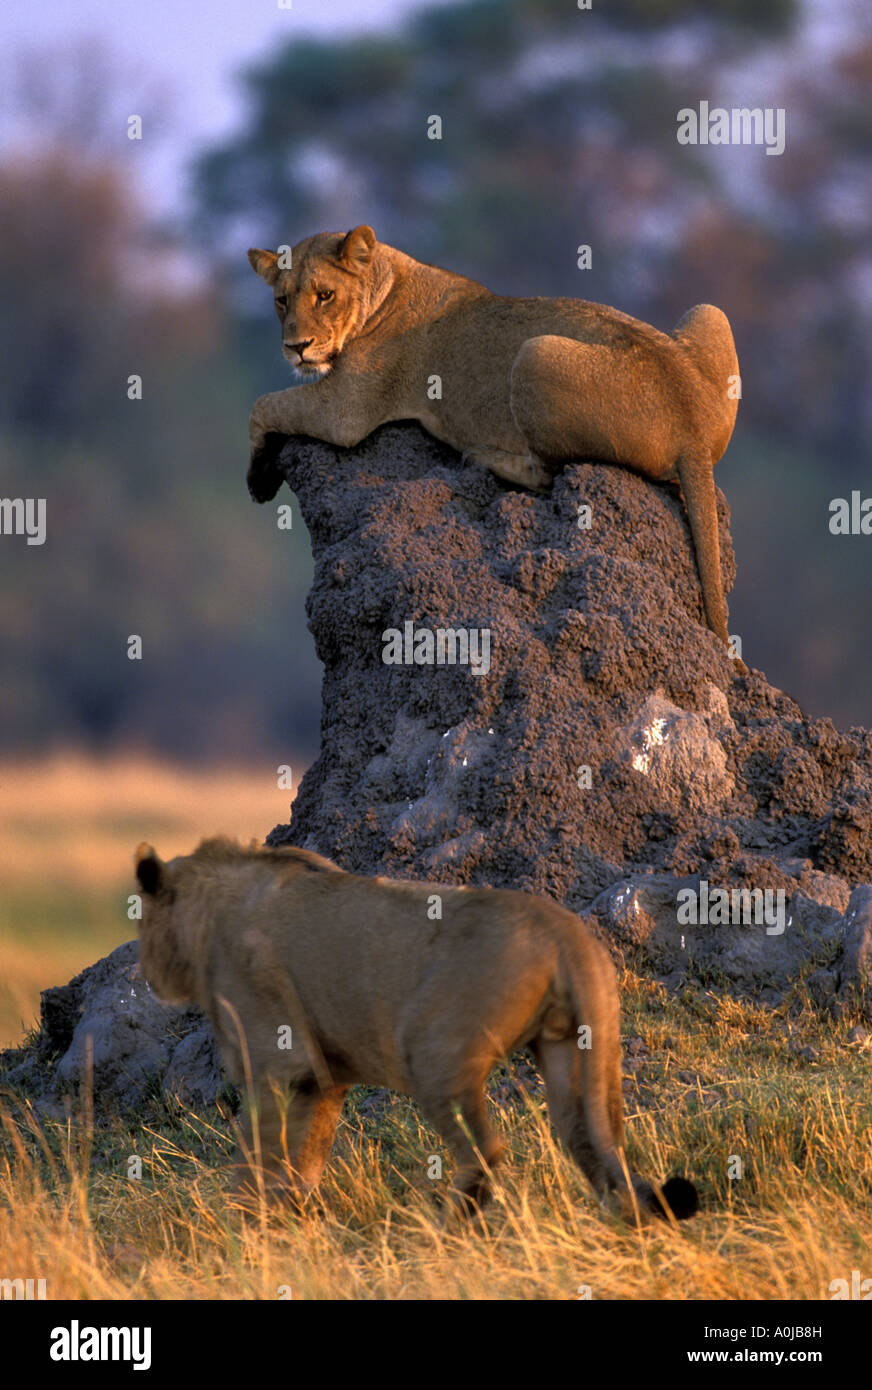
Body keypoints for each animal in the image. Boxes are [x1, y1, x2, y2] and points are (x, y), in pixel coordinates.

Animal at [134, 837, 698, 1222]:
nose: (146, 972)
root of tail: (564, 932)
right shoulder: (324, 1077)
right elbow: (306, 1158)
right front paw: (295, 1221)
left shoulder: (275, 1061)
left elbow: (259, 1152)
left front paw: (248, 1229)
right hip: (576, 1052)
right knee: (598, 1148)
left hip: (431, 1053)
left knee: (486, 1149)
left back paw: (449, 1230)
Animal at [247, 225, 743, 665]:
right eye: (281, 300)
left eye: (324, 295)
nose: (296, 347)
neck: (388, 279)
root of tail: (694, 428)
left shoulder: (347, 409)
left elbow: (263, 405)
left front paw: (259, 479)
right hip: (709, 311)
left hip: (534, 353)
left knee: (546, 473)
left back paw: (484, 457)